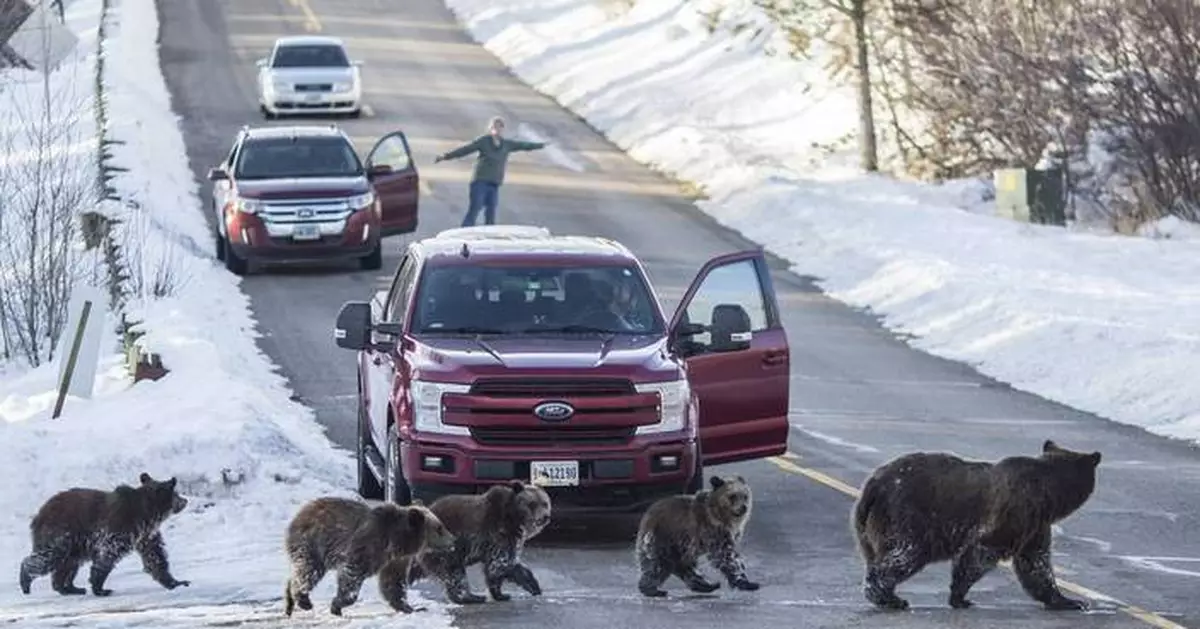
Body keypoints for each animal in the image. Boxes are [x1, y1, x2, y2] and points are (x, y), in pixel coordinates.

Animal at [17, 470, 189, 600]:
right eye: (176, 494)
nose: (185, 500)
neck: (148, 512)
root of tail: (39, 513)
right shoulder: (121, 527)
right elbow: (107, 554)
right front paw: (100, 588)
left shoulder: (145, 535)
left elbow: (156, 557)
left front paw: (177, 582)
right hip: (61, 533)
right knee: (47, 557)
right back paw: (26, 581)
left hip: (74, 544)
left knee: (68, 563)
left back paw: (70, 588)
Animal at [280, 499, 453, 614]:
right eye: (439, 528)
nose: (453, 540)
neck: (396, 541)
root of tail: (301, 512)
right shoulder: (366, 546)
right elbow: (352, 574)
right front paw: (338, 604)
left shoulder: (395, 561)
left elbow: (393, 582)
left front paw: (408, 606)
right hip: (313, 544)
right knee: (309, 571)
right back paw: (303, 600)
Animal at [403, 482, 552, 604]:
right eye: (532, 503)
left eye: (545, 503)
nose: (545, 517)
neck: (515, 519)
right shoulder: (499, 534)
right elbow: (499, 565)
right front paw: (503, 594)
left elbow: (507, 565)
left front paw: (533, 585)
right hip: (447, 545)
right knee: (455, 572)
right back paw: (471, 597)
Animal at [854, 439, 1099, 612]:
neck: (1049, 496)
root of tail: (874, 484)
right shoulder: (1015, 513)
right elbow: (981, 552)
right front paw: (960, 597)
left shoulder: (1036, 526)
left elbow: (1036, 564)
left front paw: (1069, 601)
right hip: (908, 515)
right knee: (906, 553)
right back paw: (889, 597)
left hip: (867, 526)